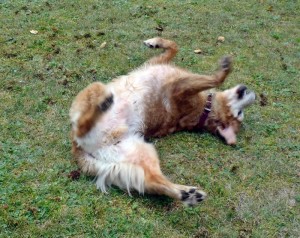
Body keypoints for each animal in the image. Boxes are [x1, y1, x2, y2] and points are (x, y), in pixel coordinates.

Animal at [69, 37, 255, 206]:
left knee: (84, 125)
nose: (252, 94)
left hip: (93, 93)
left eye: (239, 113)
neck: (204, 110)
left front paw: (225, 69)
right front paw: (155, 42)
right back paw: (187, 194)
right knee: (153, 182)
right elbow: (174, 47)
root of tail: (79, 148)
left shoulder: (179, 87)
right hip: (142, 154)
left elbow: (215, 79)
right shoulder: (154, 64)